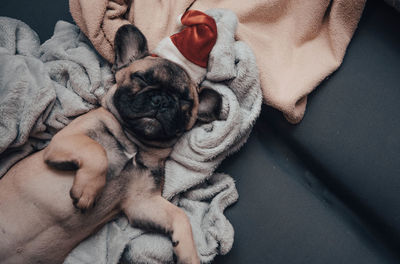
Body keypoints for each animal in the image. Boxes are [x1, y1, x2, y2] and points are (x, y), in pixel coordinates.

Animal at [0, 24, 220, 264]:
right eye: (141, 78)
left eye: (185, 100)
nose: (161, 100)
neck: (134, 141)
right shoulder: (65, 140)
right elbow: (96, 151)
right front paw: (88, 190)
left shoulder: (142, 201)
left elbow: (179, 215)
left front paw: (189, 254)